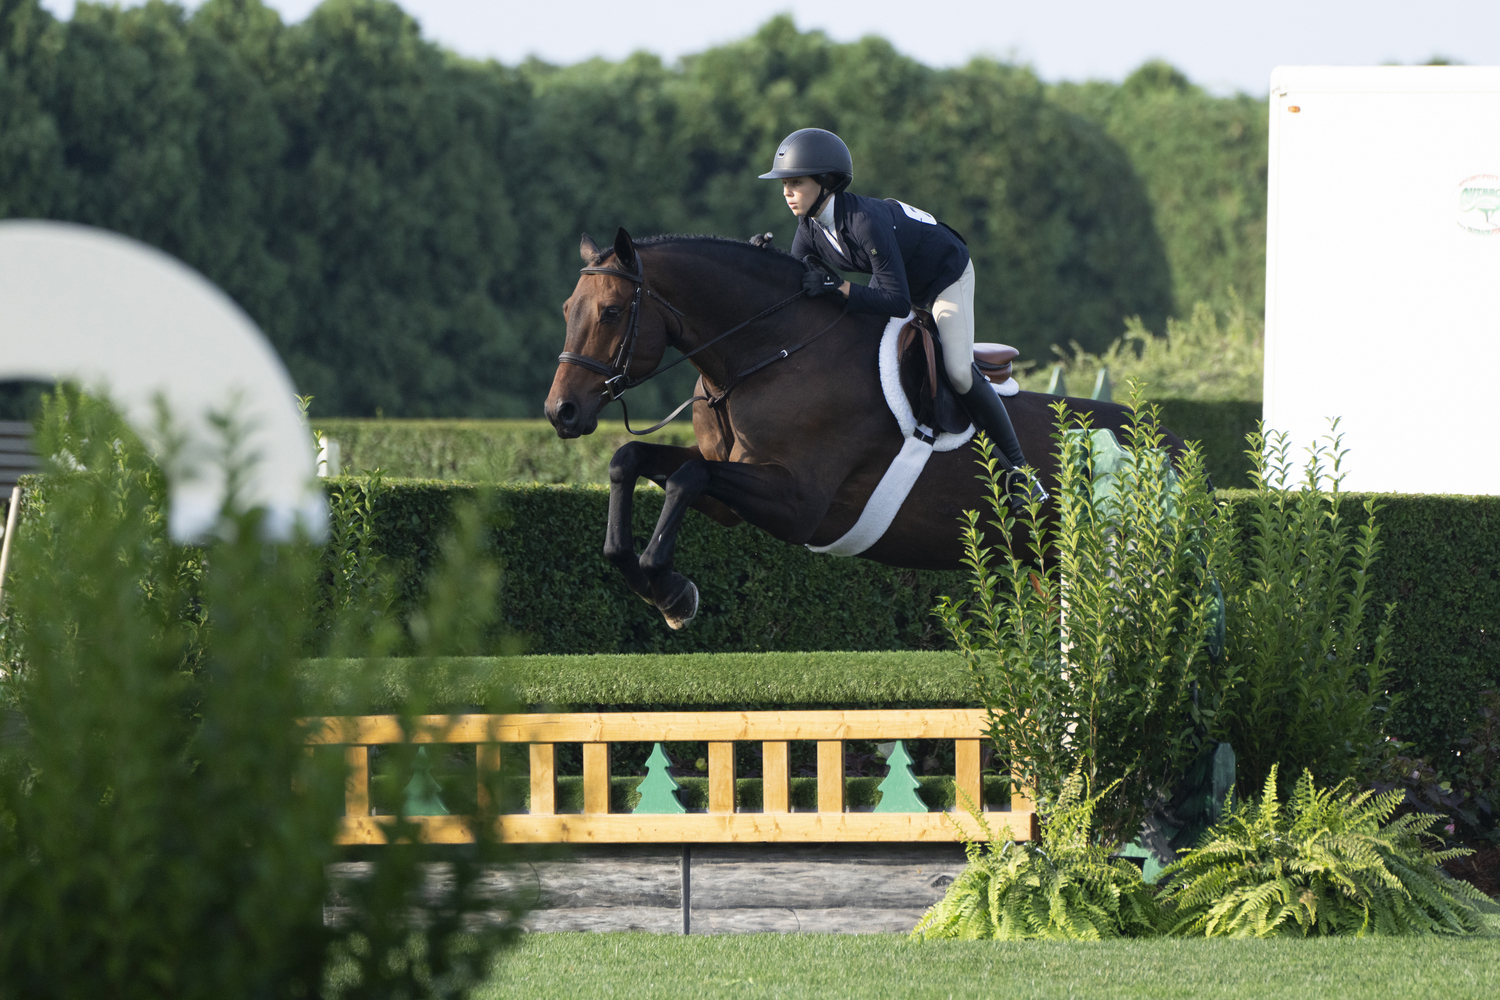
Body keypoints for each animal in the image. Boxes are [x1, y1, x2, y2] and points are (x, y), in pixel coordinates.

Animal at [540, 230, 1182, 629]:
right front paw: (660, 588)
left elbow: (687, 477)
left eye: (611, 312)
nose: (561, 412)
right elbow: (632, 461)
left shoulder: (798, 504)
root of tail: (1164, 440)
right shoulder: (732, 494)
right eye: (568, 309)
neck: (770, 352)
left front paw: (671, 591)